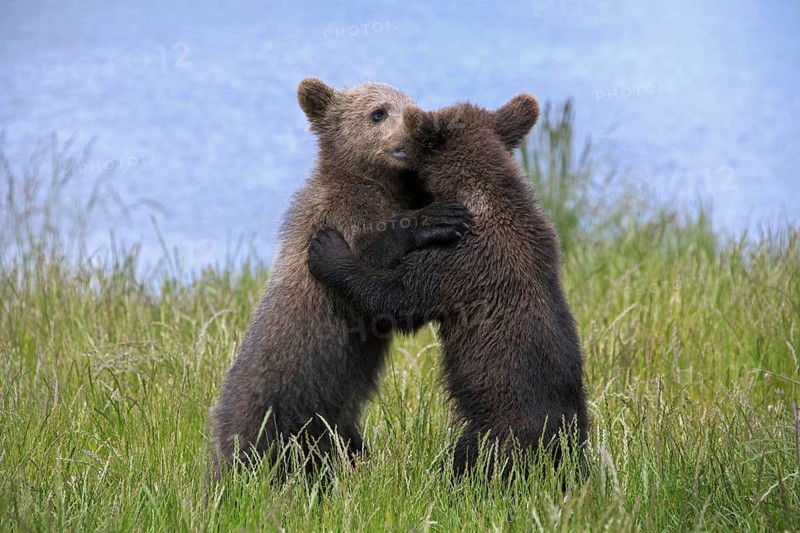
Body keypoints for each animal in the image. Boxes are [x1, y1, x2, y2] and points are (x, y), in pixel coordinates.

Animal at [209, 78, 471, 481]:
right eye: (378, 112)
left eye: (410, 103)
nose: (415, 129)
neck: (374, 180)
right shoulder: (340, 214)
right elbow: (369, 255)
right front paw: (438, 218)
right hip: (277, 399)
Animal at [307, 94, 588, 480]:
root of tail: (558, 449)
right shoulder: (543, 237)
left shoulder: (456, 260)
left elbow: (396, 298)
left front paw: (327, 249)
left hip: (496, 430)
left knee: (468, 462)